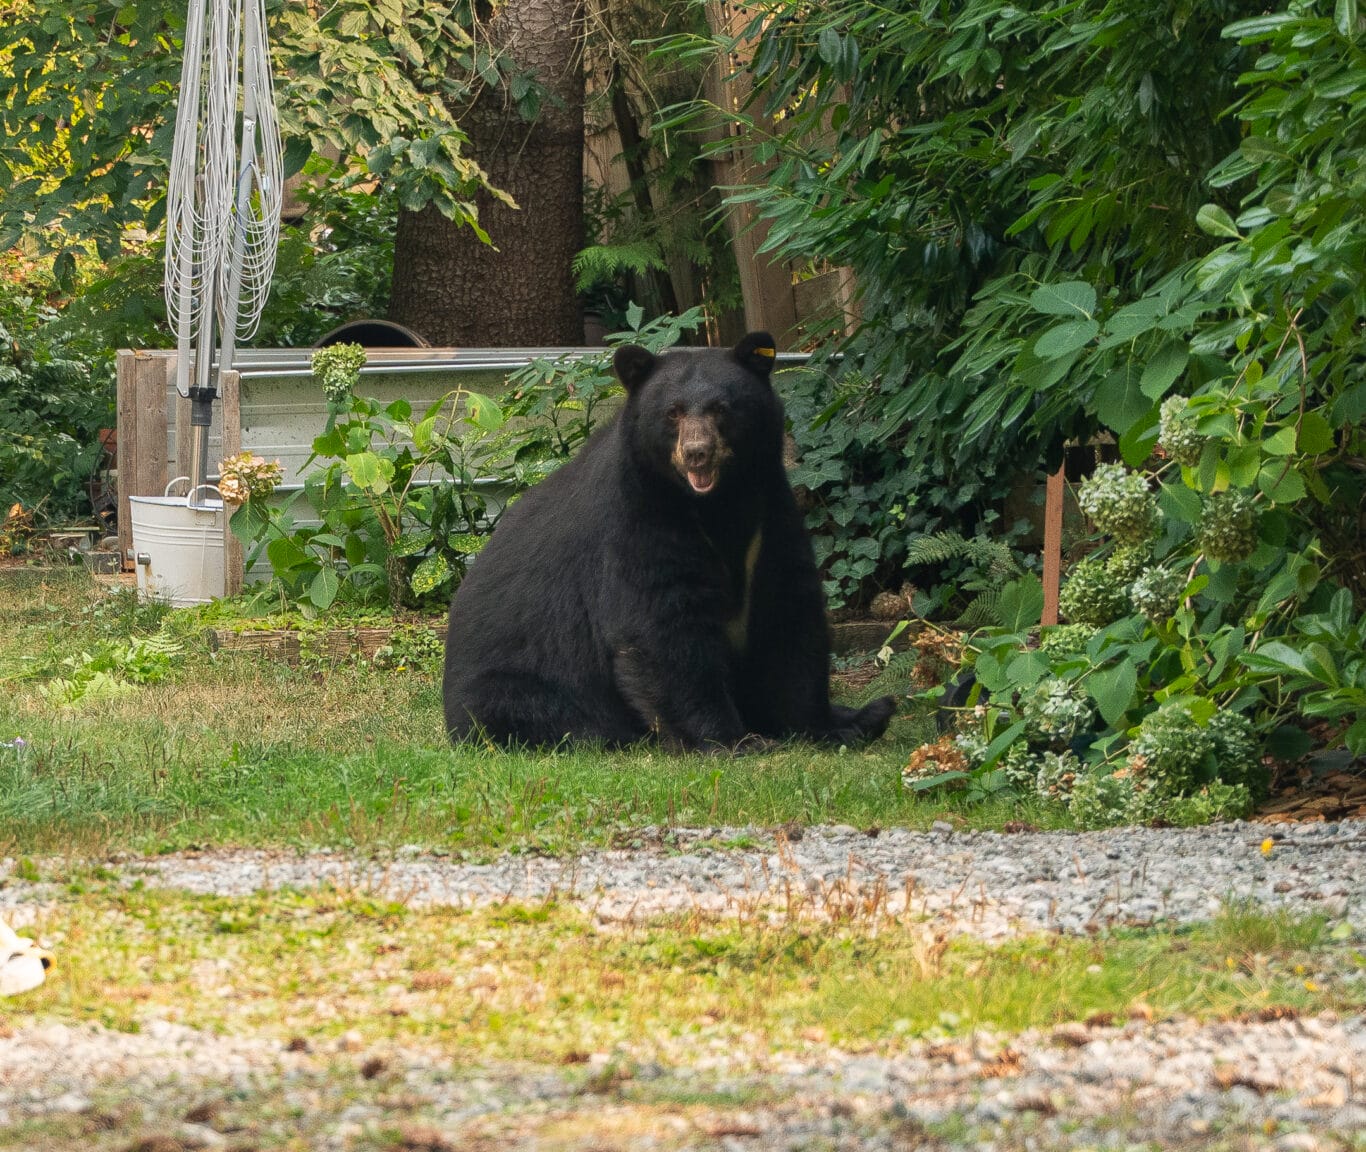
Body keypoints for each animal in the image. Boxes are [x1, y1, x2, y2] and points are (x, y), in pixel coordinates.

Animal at [442, 332, 897, 752]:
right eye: (673, 412)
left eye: (721, 408)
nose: (697, 452)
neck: (717, 503)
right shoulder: (639, 516)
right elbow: (664, 624)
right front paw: (733, 740)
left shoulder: (769, 511)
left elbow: (787, 611)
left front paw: (826, 725)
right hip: (522, 685)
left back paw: (874, 712)